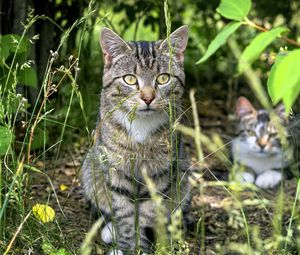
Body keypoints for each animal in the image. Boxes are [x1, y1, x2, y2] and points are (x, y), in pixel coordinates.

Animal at [81, 25, 190, 255]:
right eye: (130, 79)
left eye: (163, 78)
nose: (148, 97)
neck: (141, 126)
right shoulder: (115, 171)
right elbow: (124, 214)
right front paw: (127, 246)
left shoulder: (159, 174)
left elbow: (147, 215)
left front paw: (142, 246)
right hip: (91, 173)